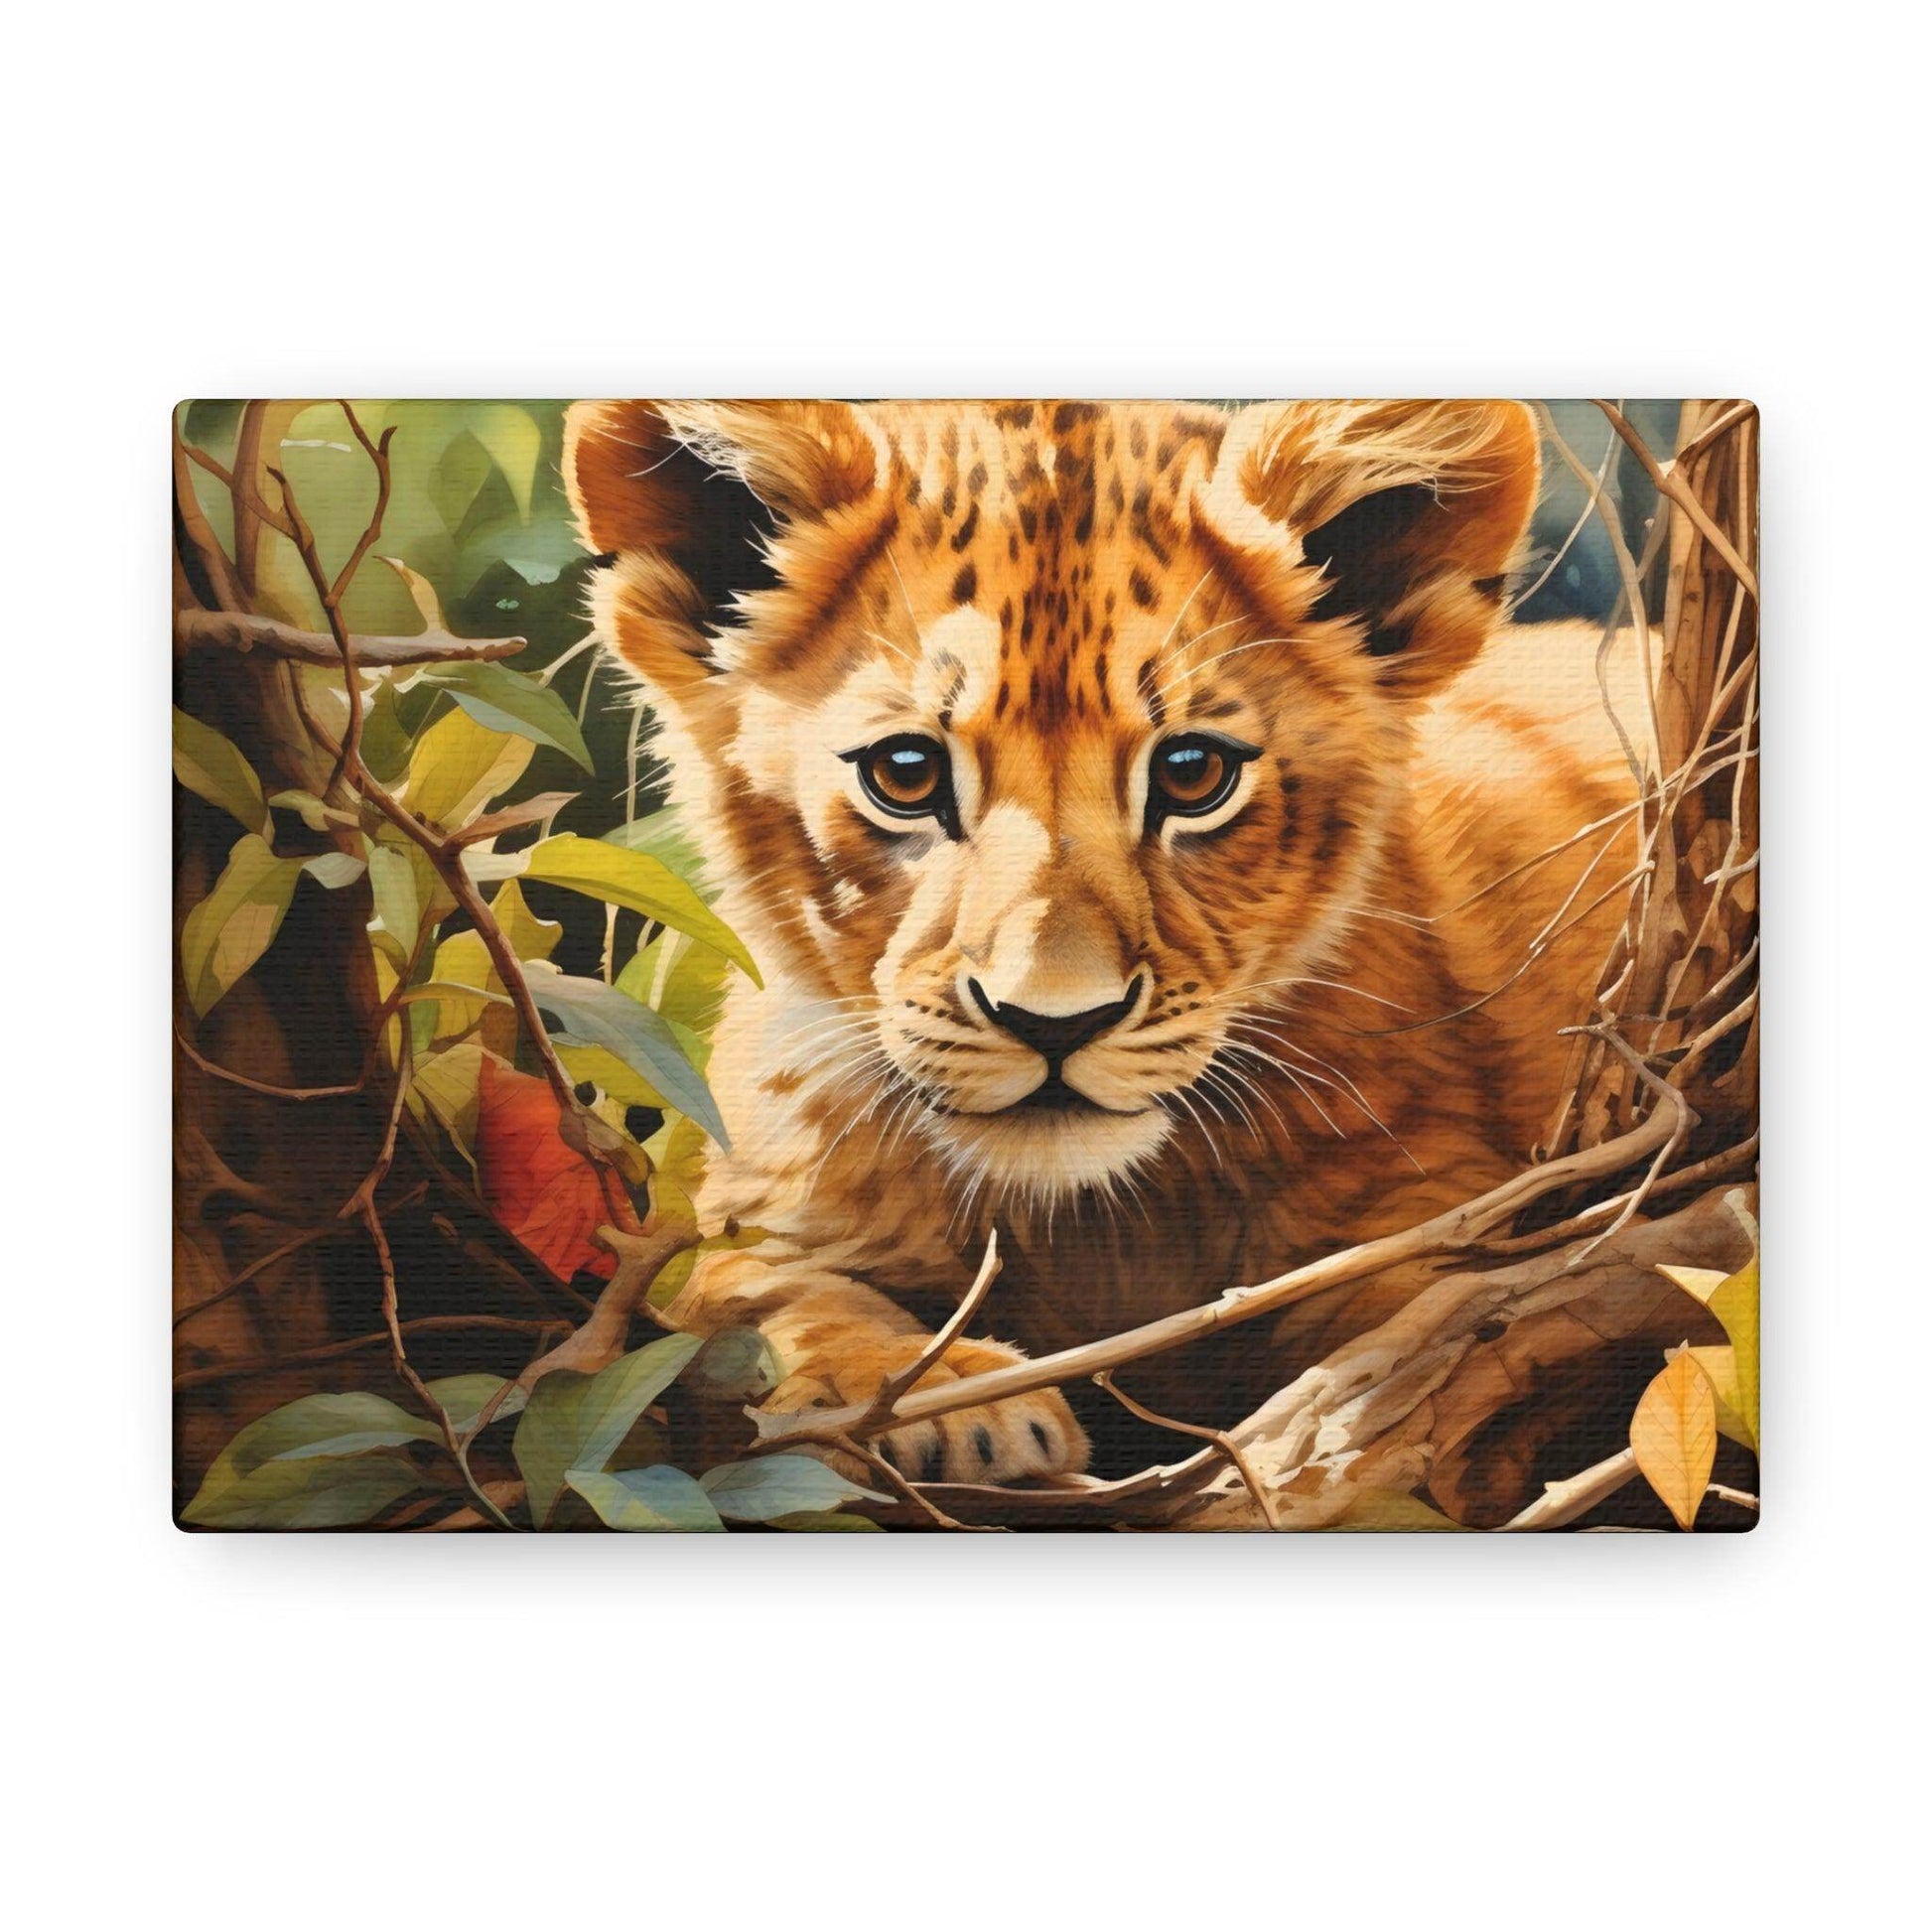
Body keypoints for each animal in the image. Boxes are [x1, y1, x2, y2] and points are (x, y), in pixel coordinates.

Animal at [563, 399, 1650, 1483]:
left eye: (1193, 772)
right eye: (905, 773)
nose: (1053, 1023)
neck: (1095, 1225)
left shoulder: (1437, 1210)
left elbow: (1440, 1324)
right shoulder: (743, 1212)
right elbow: (749, 1287)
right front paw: (941, 1398)